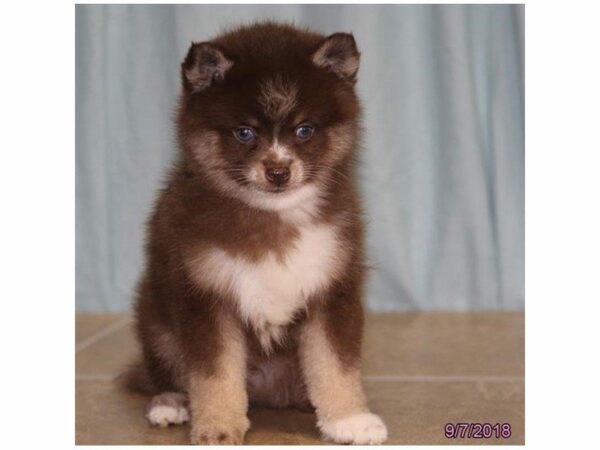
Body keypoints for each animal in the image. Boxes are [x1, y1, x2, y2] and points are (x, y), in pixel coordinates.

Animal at [125, 22, 390, 444]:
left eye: (304, 129)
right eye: (244, 133)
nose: (278, 172)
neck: (271, 218)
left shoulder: (333, 287)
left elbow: (335, 363)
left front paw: (349, 419)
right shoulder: (204, 294)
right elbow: (214, 371)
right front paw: (217, 425)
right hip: (154, 315)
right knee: (162, 366)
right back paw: (170, 402)